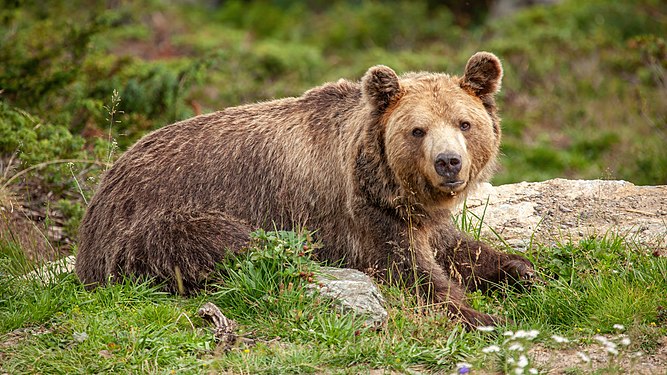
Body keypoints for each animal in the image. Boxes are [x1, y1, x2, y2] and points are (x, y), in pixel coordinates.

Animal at [77, 51, 536, 328]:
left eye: (464, 122)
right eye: (417, 130)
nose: (448, 162)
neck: (389, 184)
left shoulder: (420, 215)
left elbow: (458, 248)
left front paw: (522, 271)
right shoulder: (361, 216)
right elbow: (408, 270)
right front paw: (481, 315)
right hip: (157, 224)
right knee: (230, 243)